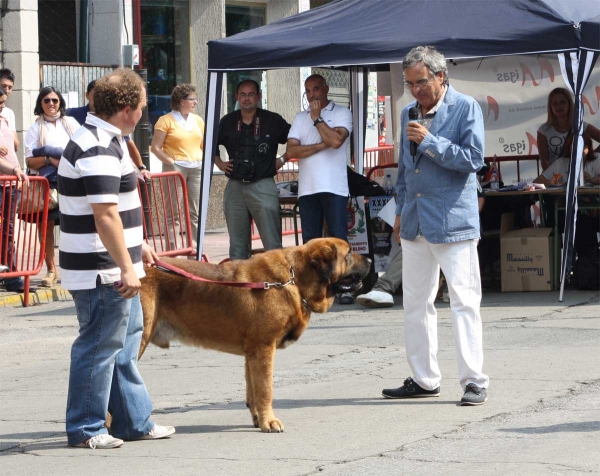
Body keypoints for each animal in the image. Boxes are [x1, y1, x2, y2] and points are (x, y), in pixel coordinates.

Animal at [139, 237, 370, 432]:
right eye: (349, 253)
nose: (369, 259)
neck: (295, 278)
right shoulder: (263, 348)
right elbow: (266, 389)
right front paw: (270, 422)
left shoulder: (252, 353)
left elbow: (253, 390)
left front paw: (259, 419)